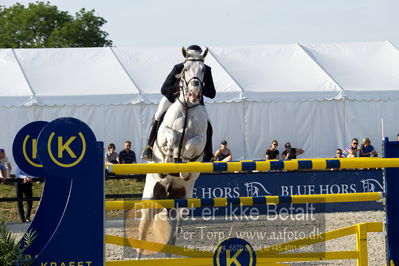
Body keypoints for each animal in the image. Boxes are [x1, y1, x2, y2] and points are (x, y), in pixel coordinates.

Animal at [138, 47, 209, 258]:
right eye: (184, 69)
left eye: (203, 70)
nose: (194, 94)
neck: (188, 107)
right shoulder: (165, 133)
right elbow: (171, 136)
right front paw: (170, 158)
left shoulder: (200, 140)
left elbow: (191, 145)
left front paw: (183, 165)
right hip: (151, 197)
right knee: (143, 232)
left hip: (180, 201)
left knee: (173, 232)